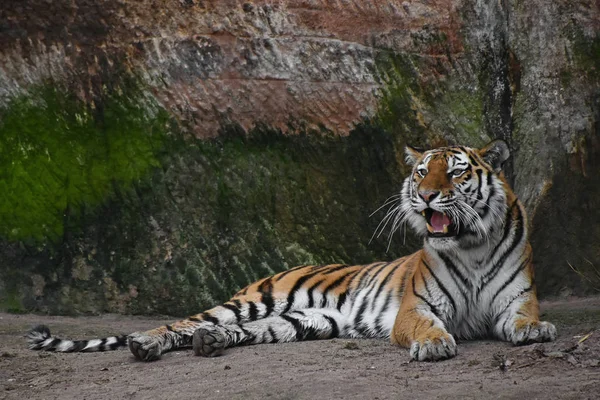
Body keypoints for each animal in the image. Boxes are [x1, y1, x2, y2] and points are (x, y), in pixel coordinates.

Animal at [24, 141, 556, 362]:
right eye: (423, 171)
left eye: (457, 172)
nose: (425, 195)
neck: (470, 246)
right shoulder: (416, 308)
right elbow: (426, 327)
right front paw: (433, 344)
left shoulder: (517, 300)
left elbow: (525, 318)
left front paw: (537, 332)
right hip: (251, 301)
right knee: (179, 324)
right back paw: (146, 344)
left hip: (306, 320)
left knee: (228, 332)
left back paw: (210, 345)